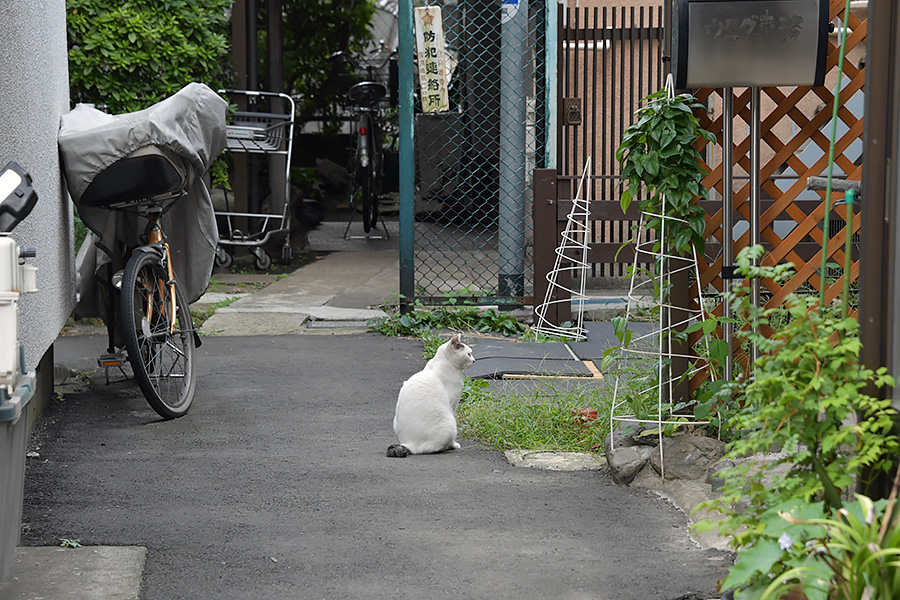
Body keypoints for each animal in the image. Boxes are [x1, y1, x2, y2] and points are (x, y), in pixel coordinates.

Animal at [386, 332, 478, 460]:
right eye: (469, 354)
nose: (474, 360)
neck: (443, 362)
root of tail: (410, 444)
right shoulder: (453, 402)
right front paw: (455, 444)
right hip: (449, 424)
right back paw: (450, 446)